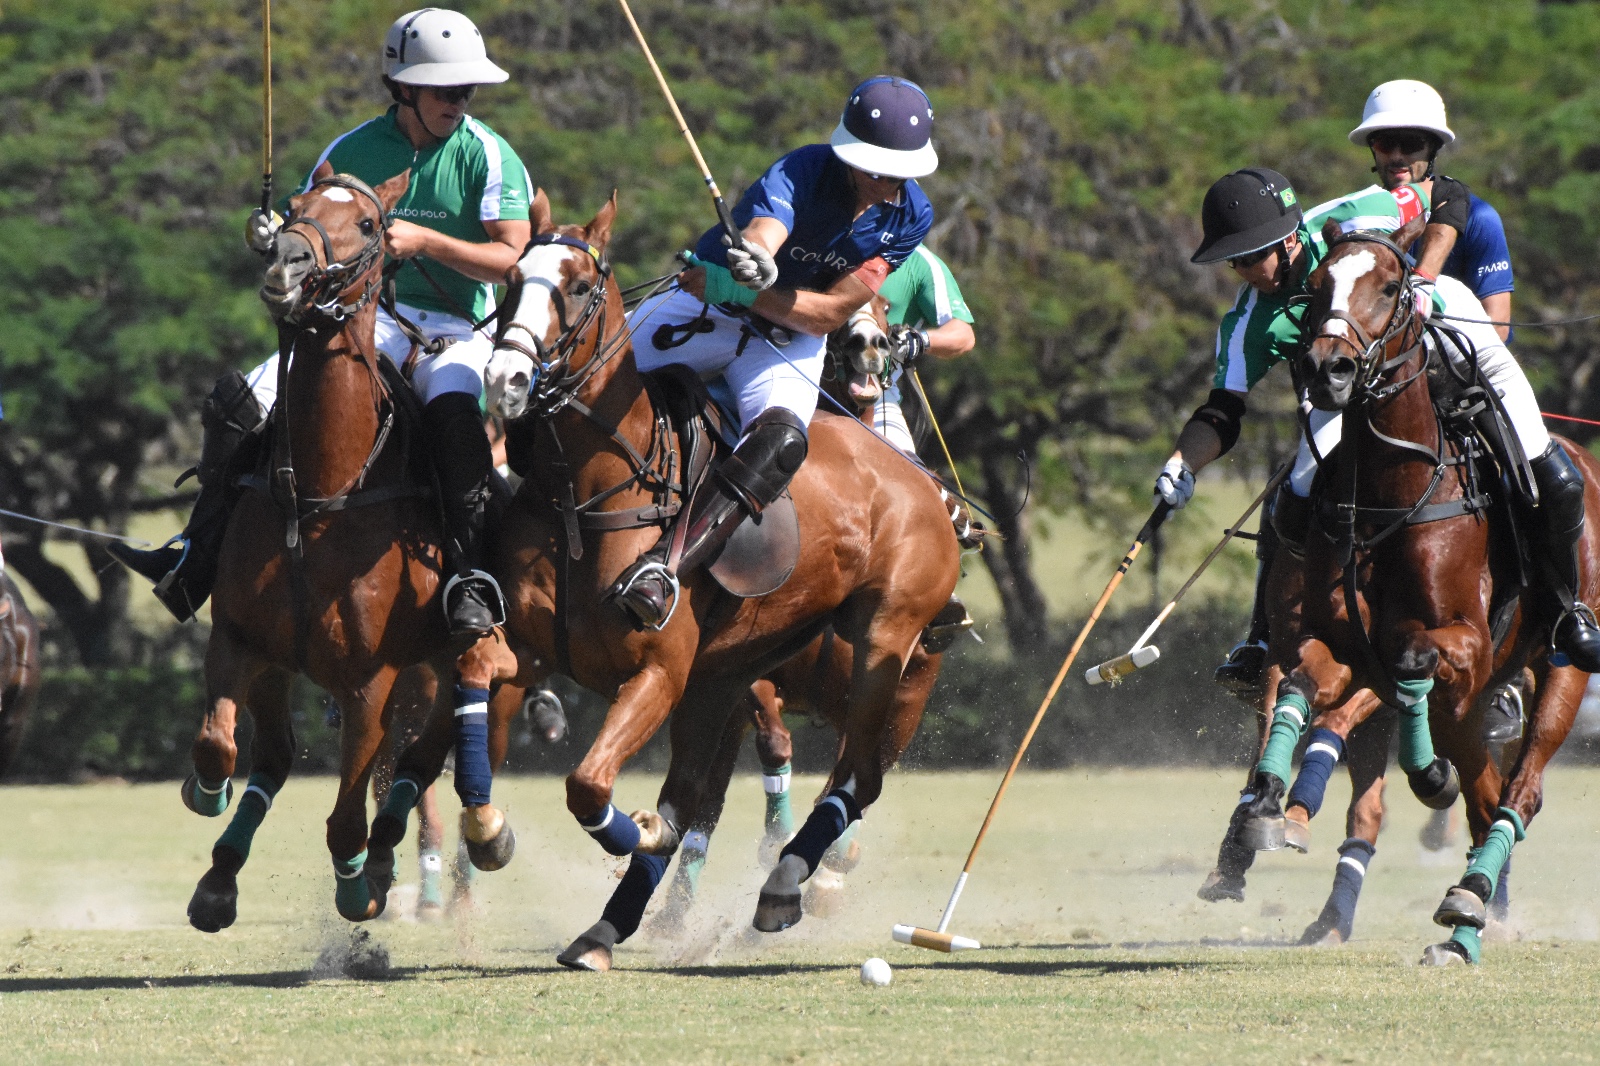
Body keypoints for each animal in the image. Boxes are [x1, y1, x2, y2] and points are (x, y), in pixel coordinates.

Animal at [181, 174, 518, 928]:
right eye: (295, 209)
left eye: (367, 224)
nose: (285, 265)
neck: (322, 491)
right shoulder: (243, 641)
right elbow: (218, 744)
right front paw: (207, 802)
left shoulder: (371, 679)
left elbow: (344, 817)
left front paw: (357, 886)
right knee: (283, 757)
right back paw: (225, 871)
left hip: (447, 661)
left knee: (425, 754)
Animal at [387, 188, 960, 960]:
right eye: (509, 280)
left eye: (577, 286)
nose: (506, 379)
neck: (585, 496)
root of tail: (925, 486)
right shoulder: (535, 650)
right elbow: (480, 675)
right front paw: (491, 832)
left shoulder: (659, 670)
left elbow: (589, 785)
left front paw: (640, 834)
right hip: (725, 676)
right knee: (706, 790)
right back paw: (606, 928)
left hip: (887, 648)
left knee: (856, 777)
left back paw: (783, 885)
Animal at [1228, 209, 1593, 960]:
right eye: (1315, 288)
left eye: (1393, 285)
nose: (1329, 369)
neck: (1389, 497)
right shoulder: (1331, 646)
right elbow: (1302, 686)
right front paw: (1268, 806)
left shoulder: (1464, 648)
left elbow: (1413, 659)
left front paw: (1426, 776)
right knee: (1483, 795)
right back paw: (1463, 912)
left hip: (1563, 667)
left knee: (1519, 789)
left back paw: (1468, 900)